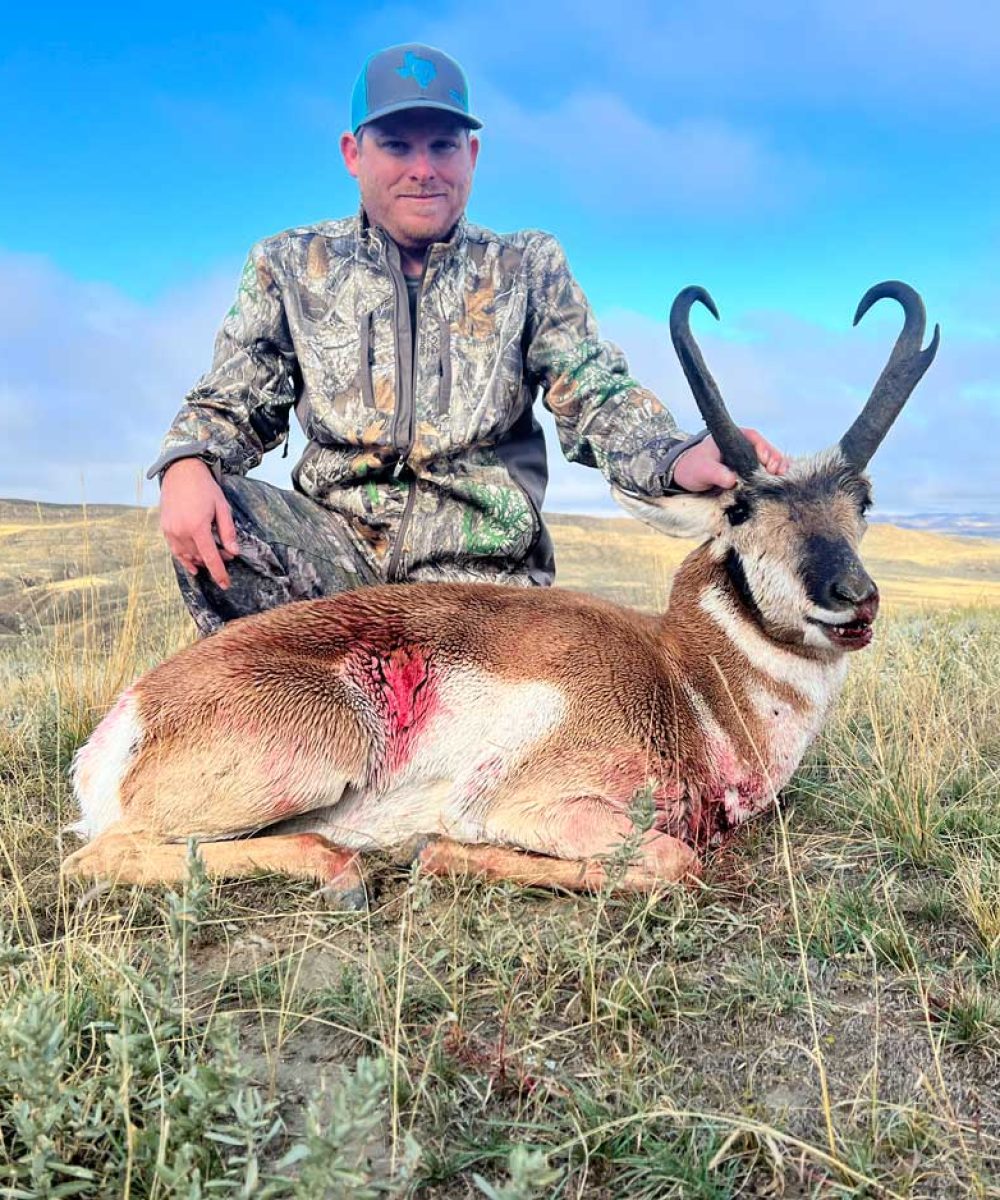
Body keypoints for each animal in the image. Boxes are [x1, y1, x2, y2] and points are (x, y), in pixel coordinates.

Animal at [62, 280, 936, 902]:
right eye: (742, 507)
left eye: (863, 501)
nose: (852, 595)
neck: (684, 677)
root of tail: (129, 717)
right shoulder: (542, 807)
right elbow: (672, 861)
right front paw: (440, 853)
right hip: (319, 756)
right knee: (98, 856)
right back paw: (344, 870)